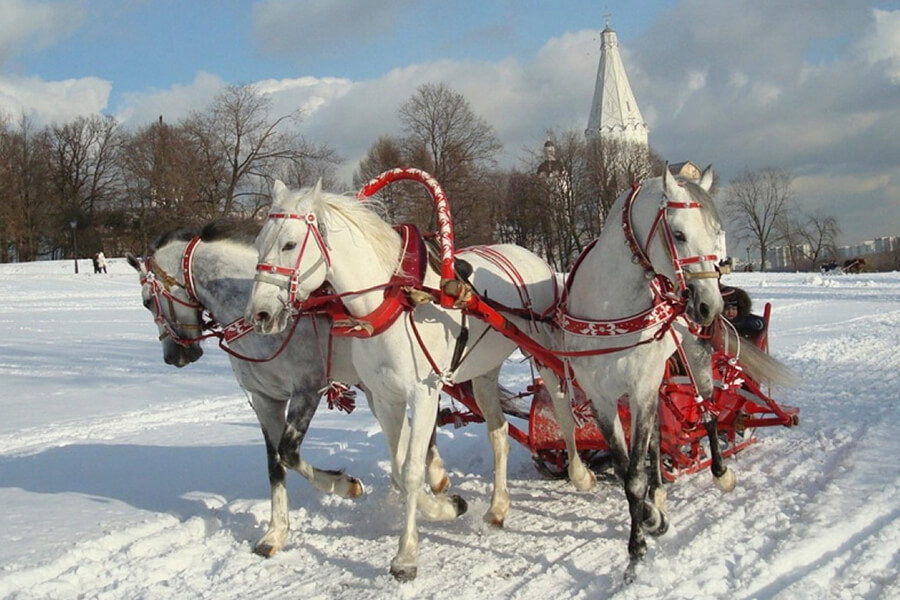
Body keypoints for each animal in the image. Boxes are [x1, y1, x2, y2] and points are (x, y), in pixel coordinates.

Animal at [126, 224, 454, 556]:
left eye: (146, 301)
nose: (173, 357)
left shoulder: (307, 389)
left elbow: (289, 452)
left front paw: (344, 485)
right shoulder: (265, 399)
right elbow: (275, 463)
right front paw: (276, 532)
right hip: (377, 389)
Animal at [243, 180, 596, 580]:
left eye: (289, 244)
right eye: (259, 243)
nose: (260, 313)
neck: (392, 302)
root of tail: (528, 254)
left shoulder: (424, 393)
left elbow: (412, 471)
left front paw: (406, 555)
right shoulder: (385, 398)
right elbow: (399, 471)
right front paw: (447, 506)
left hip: (543, 350)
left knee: (563, 409)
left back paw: (580, 473)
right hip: (483, 372)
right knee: (499, 433)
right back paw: (497, 507)